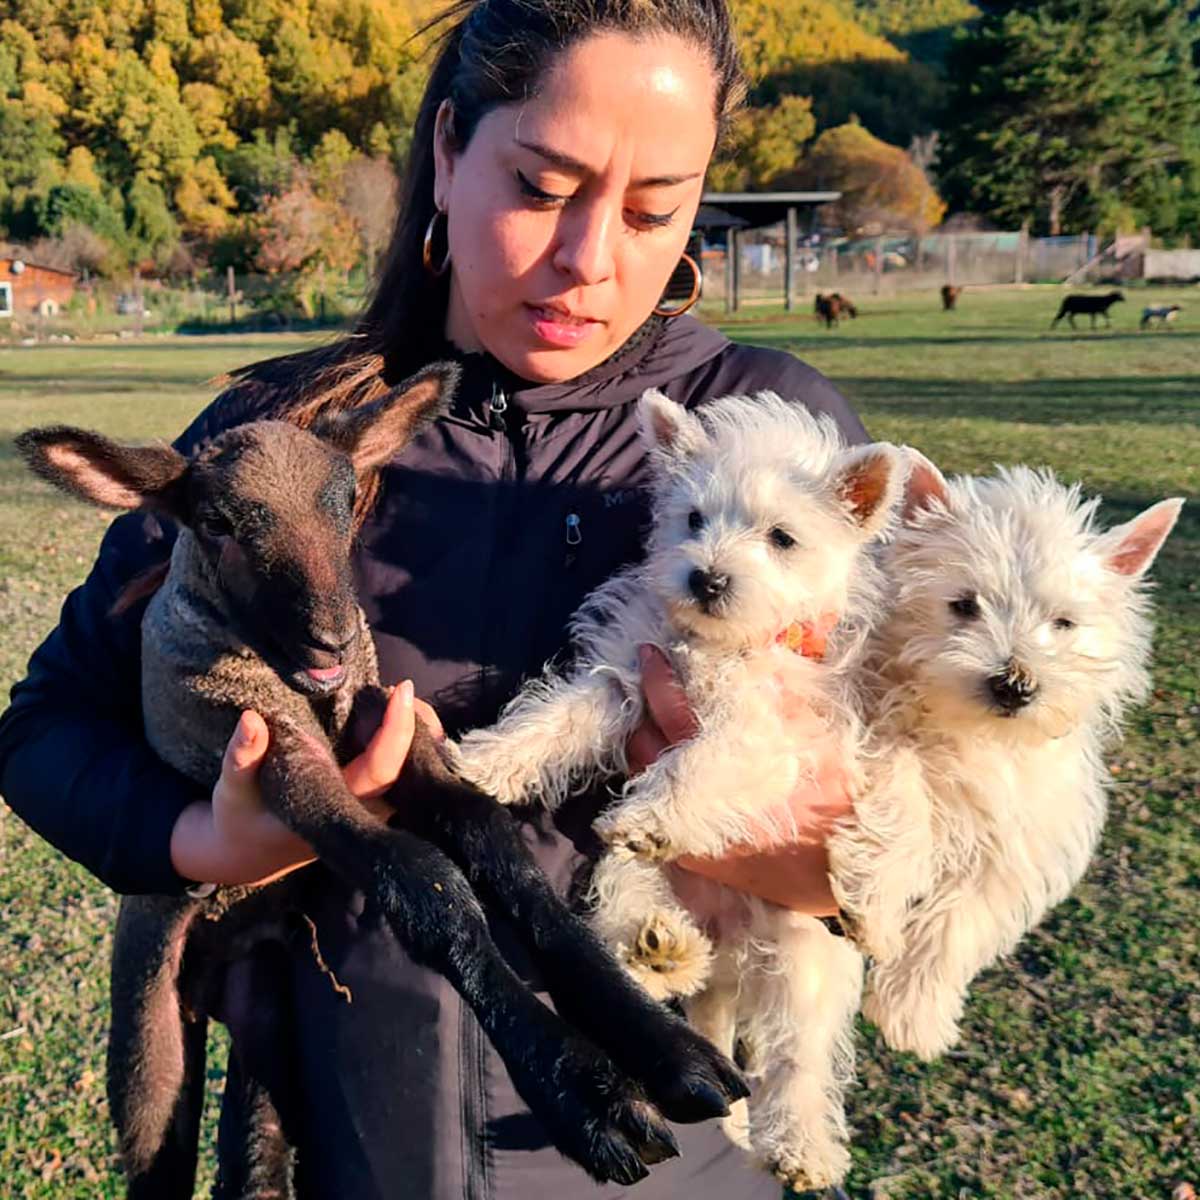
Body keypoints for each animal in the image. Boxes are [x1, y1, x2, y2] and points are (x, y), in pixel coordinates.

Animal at [453, 393, 902, 1190]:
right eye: (693, 518)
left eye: (782, 538)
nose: (706, 579)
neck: (722, 646)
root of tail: (726, 953)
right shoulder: (623, 675)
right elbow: (561, 714)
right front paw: (492, 759)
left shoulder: (769, 738)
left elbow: (704, 761)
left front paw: (656, 810)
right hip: (630, 880)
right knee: (630, 925)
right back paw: (660, 950)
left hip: (803, 956)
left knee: (798, 1057)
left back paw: (801, 1144)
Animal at [825, 458, 1180, 1060]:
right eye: (965, 605)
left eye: (1063, 623)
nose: (1014, 684)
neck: (975, 736)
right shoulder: (866, 723)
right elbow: (902, 787)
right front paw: (876, 901)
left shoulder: (1018, 839)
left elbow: (961, 919)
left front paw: (913, 1014)